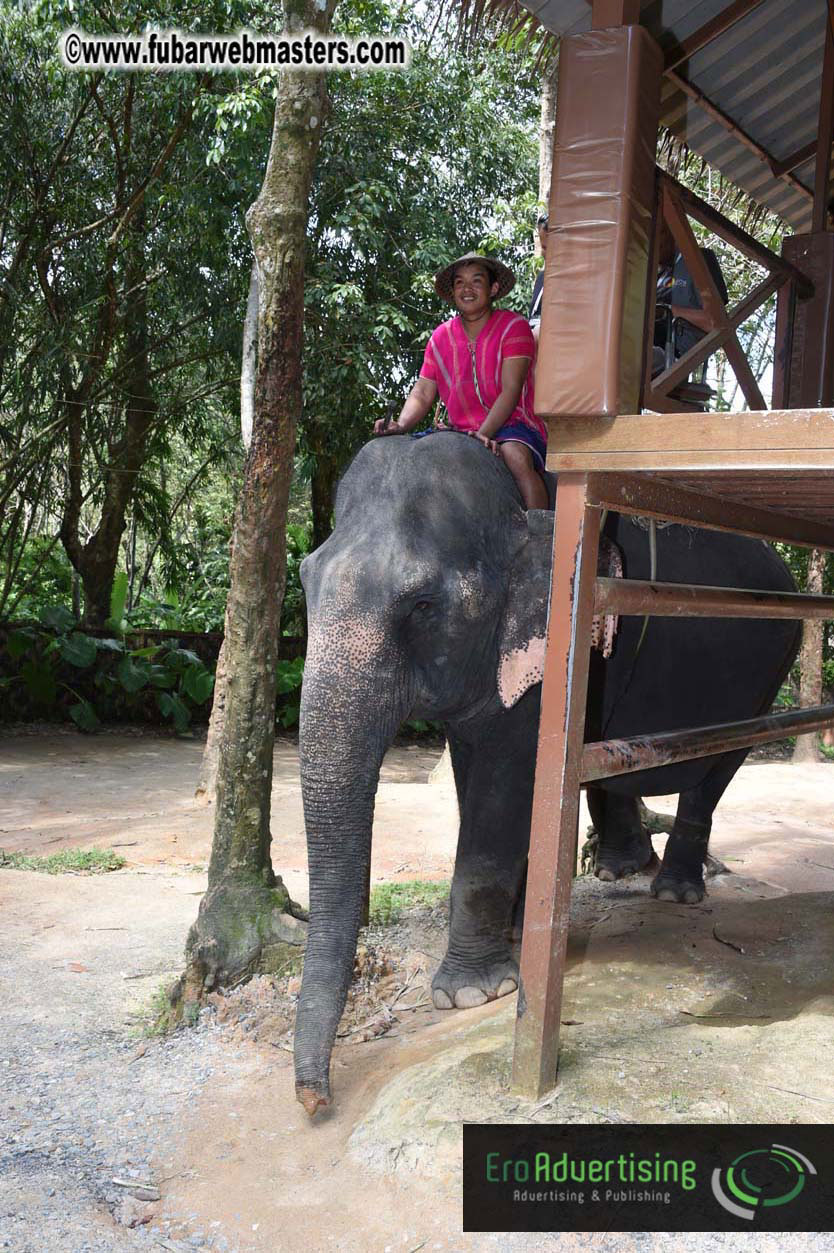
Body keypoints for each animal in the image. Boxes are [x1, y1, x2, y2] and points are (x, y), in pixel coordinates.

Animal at [293, 432, 800, 1114]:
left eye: (423, 605)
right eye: (302, 579)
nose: (313, 1101)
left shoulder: (546, 648)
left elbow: (506, 787)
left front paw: (473, 994)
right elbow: (480, 776)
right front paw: (512, 937)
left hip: (771, 664)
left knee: (714, 770)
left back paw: (674, 891)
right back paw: (617, 870)